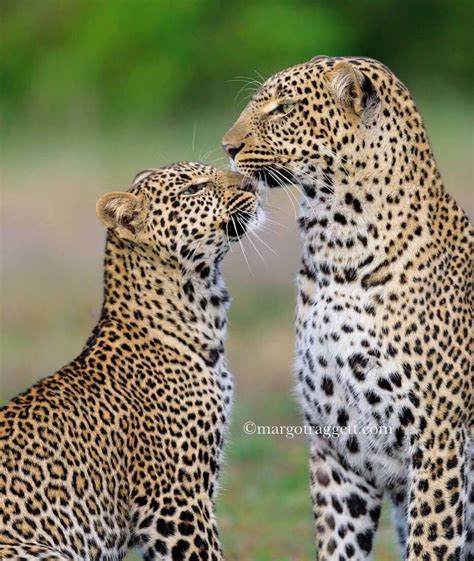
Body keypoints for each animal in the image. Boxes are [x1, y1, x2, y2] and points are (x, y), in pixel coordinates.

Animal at [223, 55, 474, 560]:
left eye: (283, 109)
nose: (227, 147)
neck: (334, 251)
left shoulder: (438, 443)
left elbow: (431, 541)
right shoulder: (338, 447)